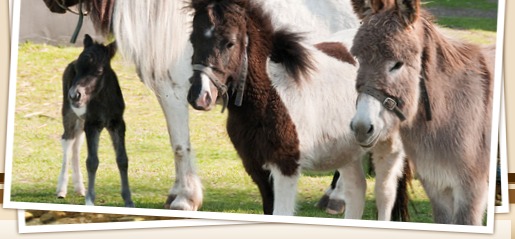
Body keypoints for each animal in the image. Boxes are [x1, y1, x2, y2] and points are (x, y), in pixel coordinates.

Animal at [187, 0, 410, 218]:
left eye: (230, 42)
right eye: (192, 40)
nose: (200, 97)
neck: (273, 92)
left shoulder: (286, 166)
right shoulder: (257, 168)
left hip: (388, 147)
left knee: (384, 194)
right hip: (349, 151)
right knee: (356, 191)